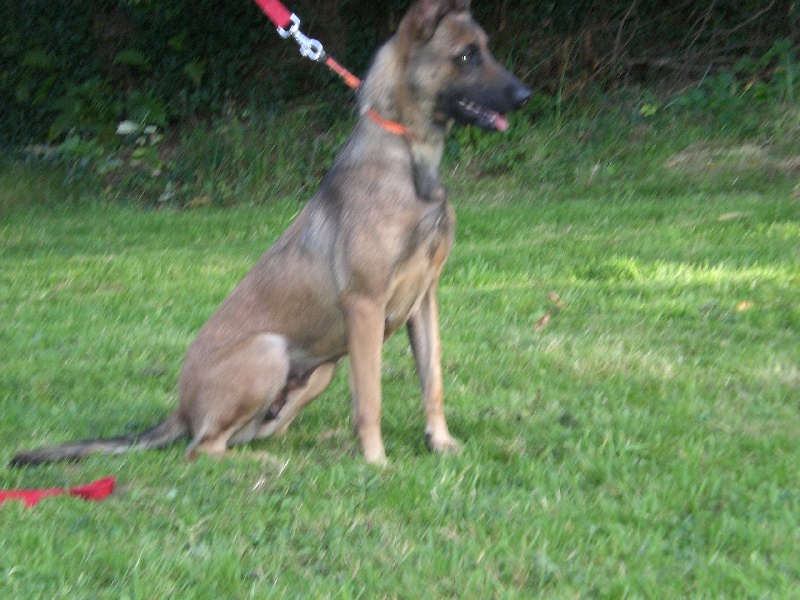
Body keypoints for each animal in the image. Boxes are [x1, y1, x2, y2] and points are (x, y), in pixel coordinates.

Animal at [10, 0, 530, 467]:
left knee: (250, 432)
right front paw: (376, 462)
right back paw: (266, 463)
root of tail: (181, 407)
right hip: (271, 351)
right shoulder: (365, 306)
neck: (409, 157)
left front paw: (439, 442)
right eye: (466, 55)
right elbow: (370, 400)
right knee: (203, 449)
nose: (525, 96)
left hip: (321, 370)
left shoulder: (423, 302)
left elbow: (432, 382)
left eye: (484, 49)